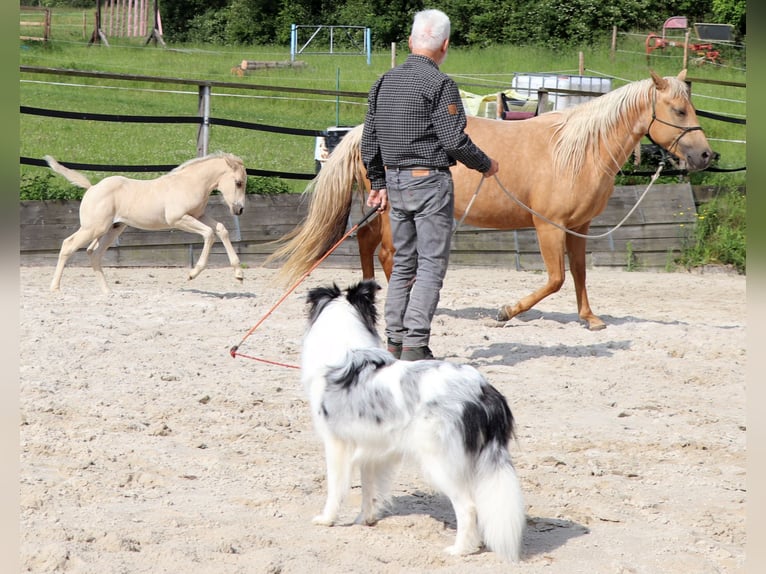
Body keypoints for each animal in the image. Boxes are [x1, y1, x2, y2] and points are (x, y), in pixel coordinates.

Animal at [45, 152, 247, 294]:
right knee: (68, 245)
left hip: (112, 229)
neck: (190, 183)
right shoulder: (178, 219)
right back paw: (55, 288)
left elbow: (221, 229)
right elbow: (209, 234)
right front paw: (193, 274)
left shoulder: (198, 215)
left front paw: (239, 275)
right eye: (238, 182)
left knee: (94, 254)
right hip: (94, 228)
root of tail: (92, 187)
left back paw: (108, 292)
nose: (239, 210)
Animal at [267, 70, 712, 330]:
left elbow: (580, 274)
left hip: (381, 207)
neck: (577, 150)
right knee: (389, 255)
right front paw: (506, 311)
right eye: (678, 109)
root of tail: (364, 131)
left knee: (365, 244)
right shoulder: (548, 227)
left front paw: (590, 318)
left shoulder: (578, 228)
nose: (706, 155)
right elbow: (556, 278)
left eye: (690, 106)